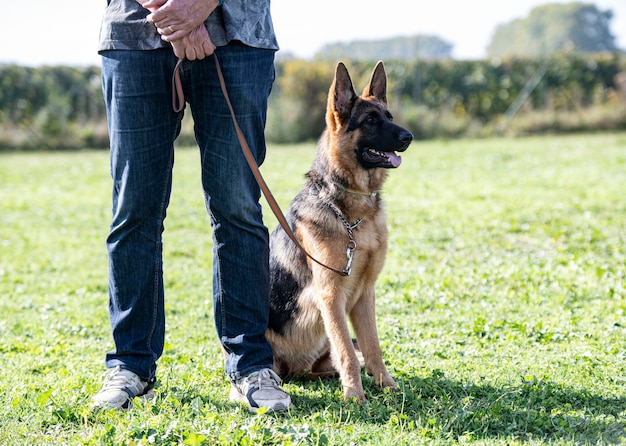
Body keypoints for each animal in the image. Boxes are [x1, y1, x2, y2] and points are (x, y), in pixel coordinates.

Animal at [266, 60, 412, 400]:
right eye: (370, 120)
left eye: (389, 117)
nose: (409, 136)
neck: (352, 212)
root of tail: (295, 369)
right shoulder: (331, 296)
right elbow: (346, 348)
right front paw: (355, 396)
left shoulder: (365, 294)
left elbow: (372, 346)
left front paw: (386, 385)